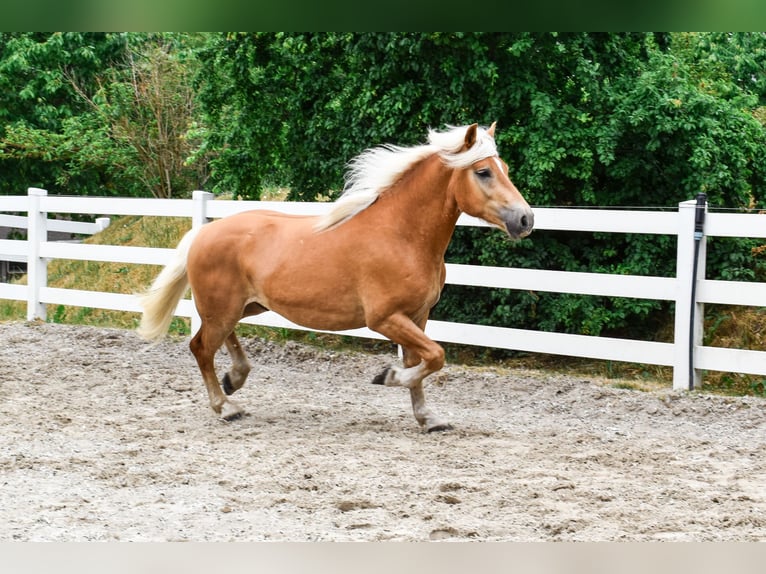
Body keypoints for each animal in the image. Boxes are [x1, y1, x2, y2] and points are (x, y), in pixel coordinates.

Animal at [138, 122, 536, 432]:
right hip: (222, 307)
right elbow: (435, 357)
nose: (526, 219)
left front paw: (428, 418)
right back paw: (226, 407)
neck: (401, 235)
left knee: (221, 341)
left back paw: (234, 380)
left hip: (245, 306)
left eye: (504, 167)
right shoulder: (385, 318)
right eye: (483, 171)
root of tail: (203, 232)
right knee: (201, 347)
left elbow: (422, 362)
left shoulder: (418, 316)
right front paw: (386, 376)